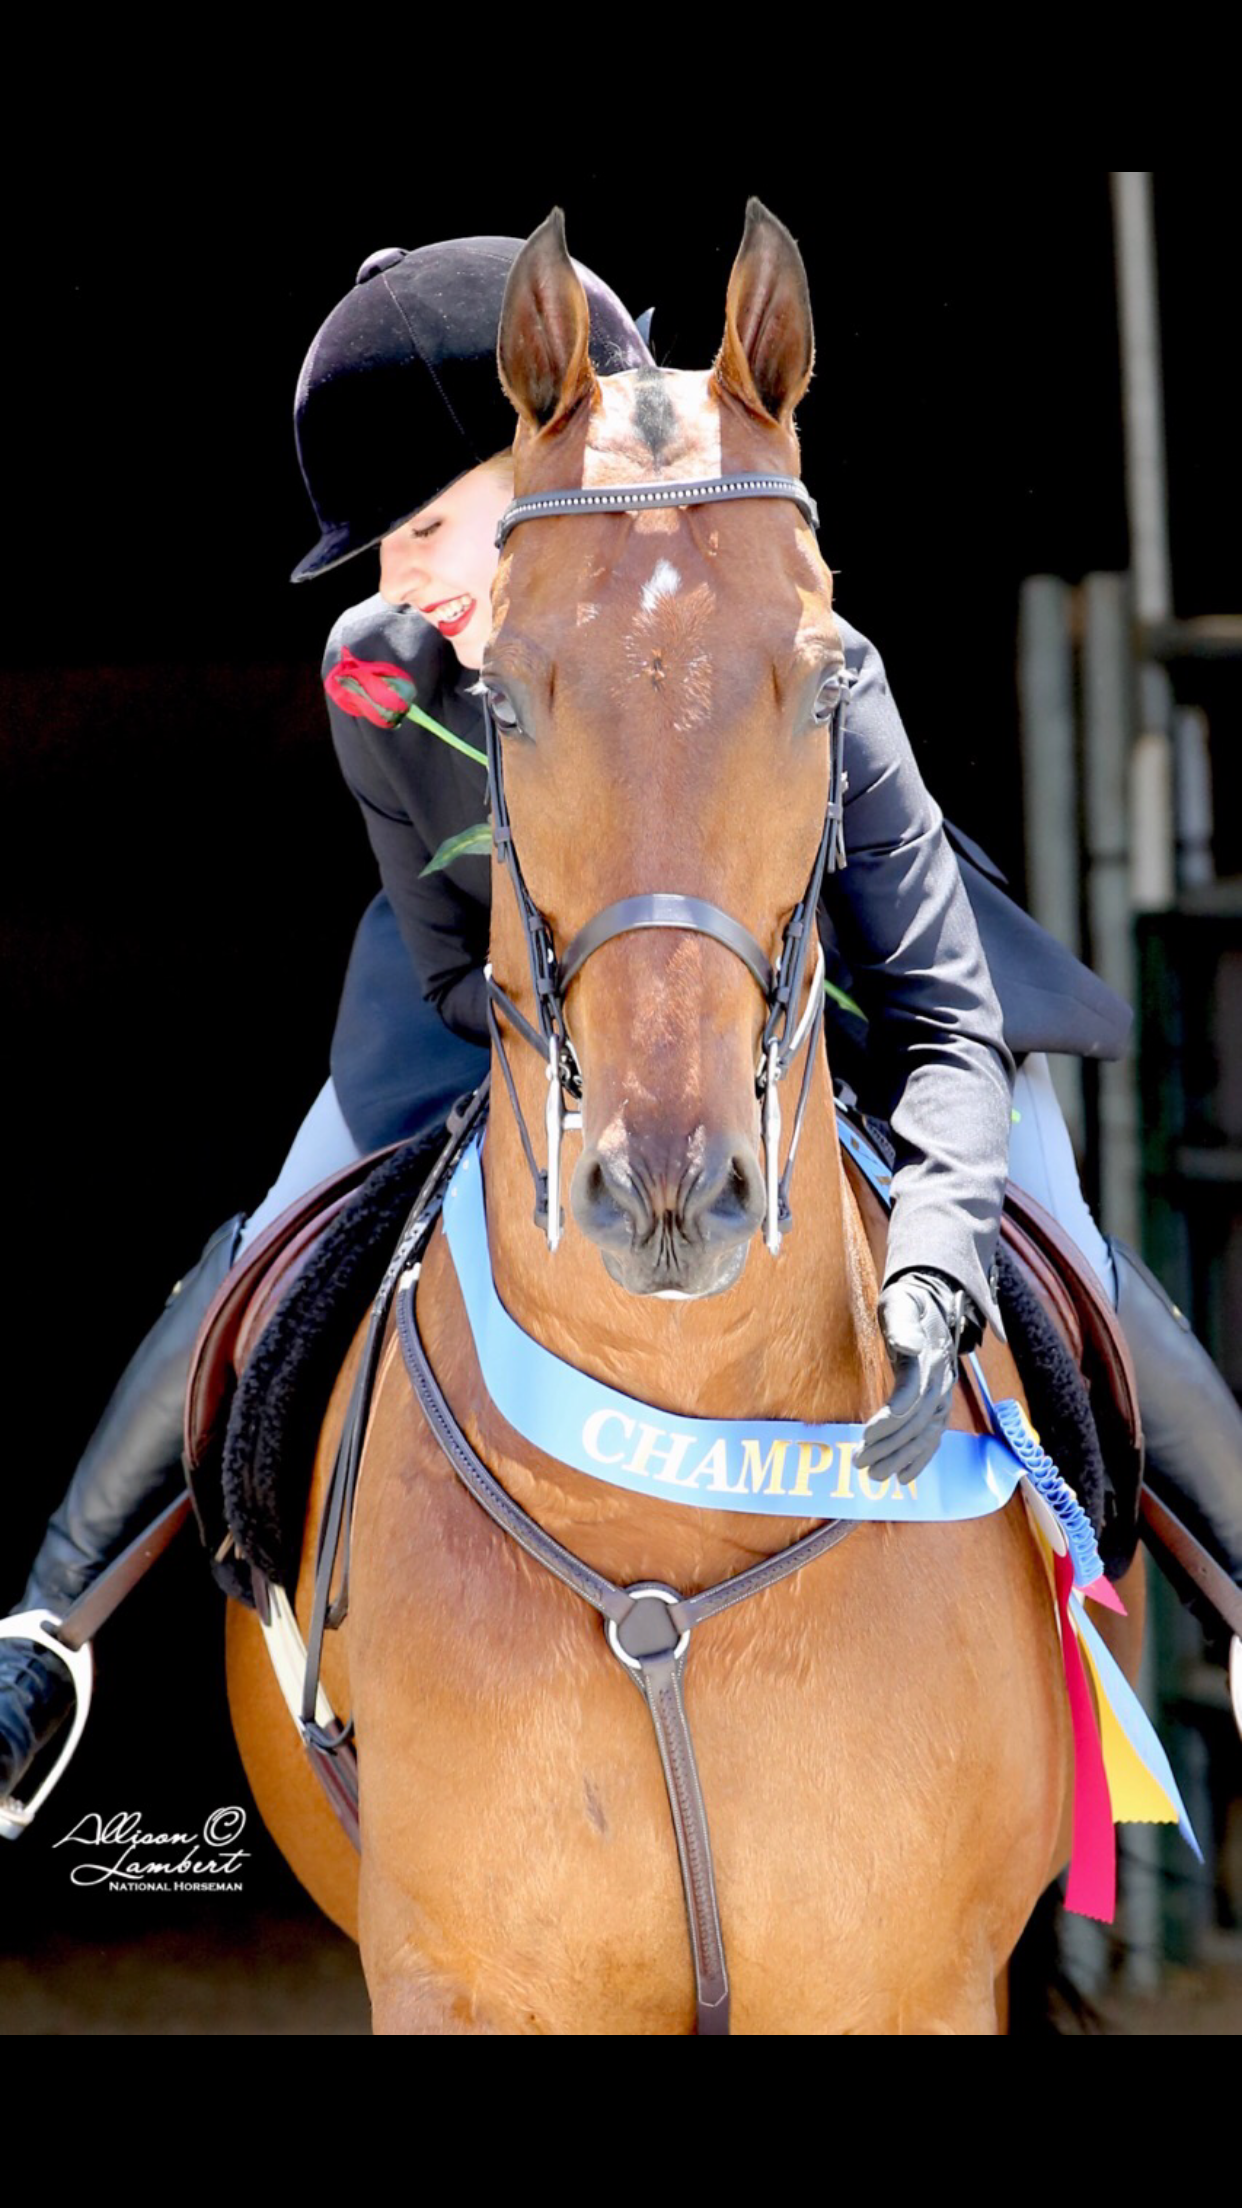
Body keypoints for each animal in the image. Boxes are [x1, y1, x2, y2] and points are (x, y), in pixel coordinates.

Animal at [222, 203, 1140, 2031]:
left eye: (827, 681)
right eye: (502, 697)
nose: (665, 1193)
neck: (661, 1518)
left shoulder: (908, 1989)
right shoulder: (456, 1983)